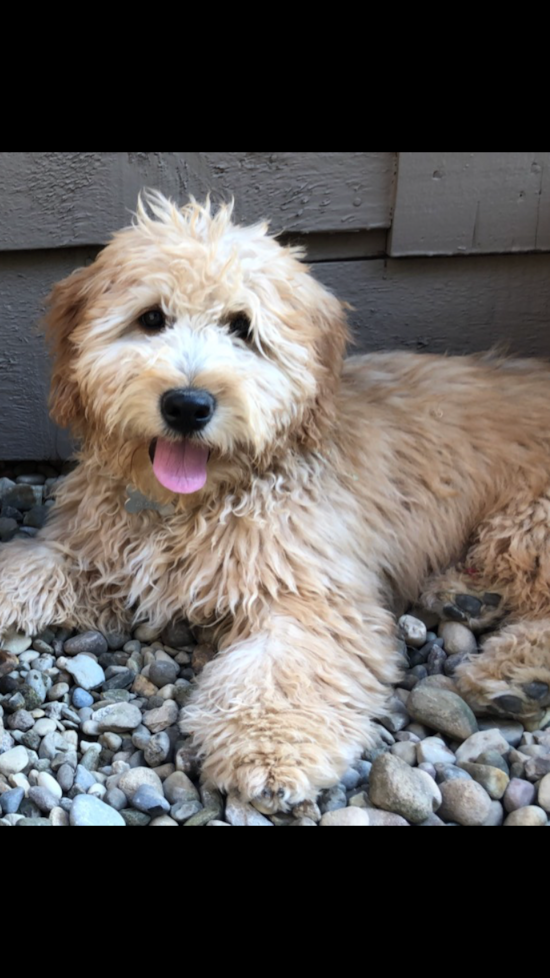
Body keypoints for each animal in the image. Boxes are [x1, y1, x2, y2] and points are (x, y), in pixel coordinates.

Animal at [1, 193, 550, 808]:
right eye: (151, 318)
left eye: (242, 327)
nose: (187, 405)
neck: (194, 502)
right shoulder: (99, 551)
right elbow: (33, 562)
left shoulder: (311, 591)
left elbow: (284, 668)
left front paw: (266, 749)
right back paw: (468, 598)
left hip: (527, 521)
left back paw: (516, 675)